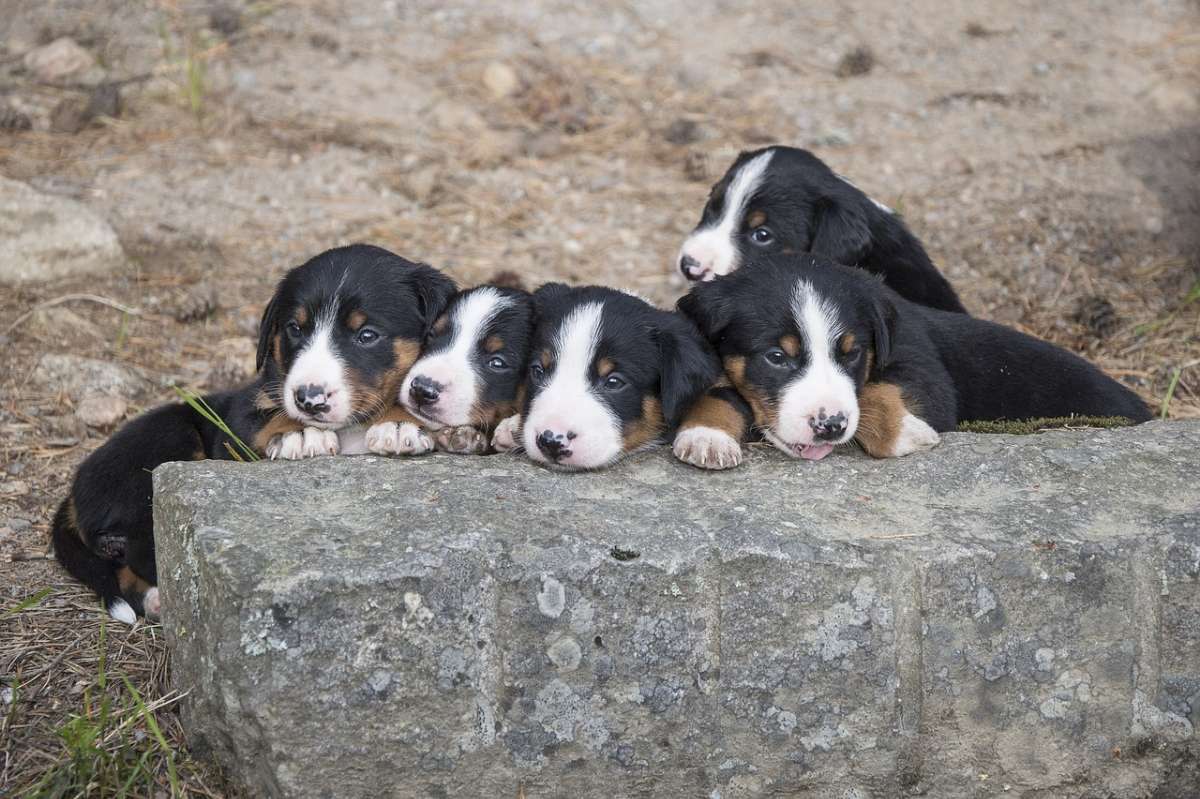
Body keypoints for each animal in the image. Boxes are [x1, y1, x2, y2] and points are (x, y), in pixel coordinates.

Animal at [51, 244, 456, 623]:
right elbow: (267, 416)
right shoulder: (237, 418)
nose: (308, 399)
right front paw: (301, 433)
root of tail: (73, 492)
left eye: (367, 335)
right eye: (295, 328)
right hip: (169, 440)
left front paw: (398, 422)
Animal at [676, 255, 1152, 463]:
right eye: (776, 357)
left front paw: (906, 432)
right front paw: (706, 436)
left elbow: (875, 391)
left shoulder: (919, 363)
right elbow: (717, 389)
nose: (831, 427)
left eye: (853, 354)